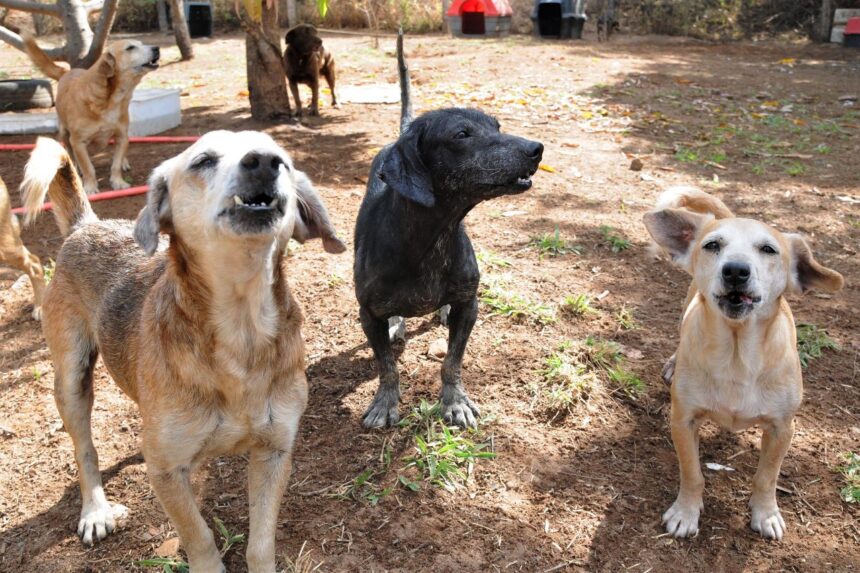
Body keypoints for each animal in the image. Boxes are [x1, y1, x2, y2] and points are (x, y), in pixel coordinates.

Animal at [21, 131, 344, 572]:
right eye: (203, 160)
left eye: (286, 162)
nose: (265, 162)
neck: (240, 332)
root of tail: (87, 225)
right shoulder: (166, 472)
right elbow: (199, 536)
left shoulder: (274, 452)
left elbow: (260, 543)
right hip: (71, 377)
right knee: (84, 447)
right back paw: (96, 511)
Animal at [23, 33, 160, 195]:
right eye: (130, 48)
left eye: (141, 43)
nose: (157, 48)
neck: (109, 101)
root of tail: (67, 72)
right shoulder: (78, 142)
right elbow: (88, 168)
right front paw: (90, 187)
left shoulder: (122, 137)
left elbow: (116, 164)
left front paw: (118, 182)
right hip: (64, 132)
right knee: (69, 150)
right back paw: (75, 166)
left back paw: (124, 162)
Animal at [353, 33, 543, 429]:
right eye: (461, 134)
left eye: (497, 126)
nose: (537, 149)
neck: (430, 239)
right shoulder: (367, 315)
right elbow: (387, 366)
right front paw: (385, 402)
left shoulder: (469, 305)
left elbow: (452, 362)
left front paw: (454, 401)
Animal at [643, 187, 843, 540]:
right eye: (712, 245)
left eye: (768, 249)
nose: (736, 270)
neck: (736, 357)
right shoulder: (683, 421)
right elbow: (692, 472)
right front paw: (685, 513)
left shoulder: (782, 429)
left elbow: (767, 477)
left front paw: (766, 514)